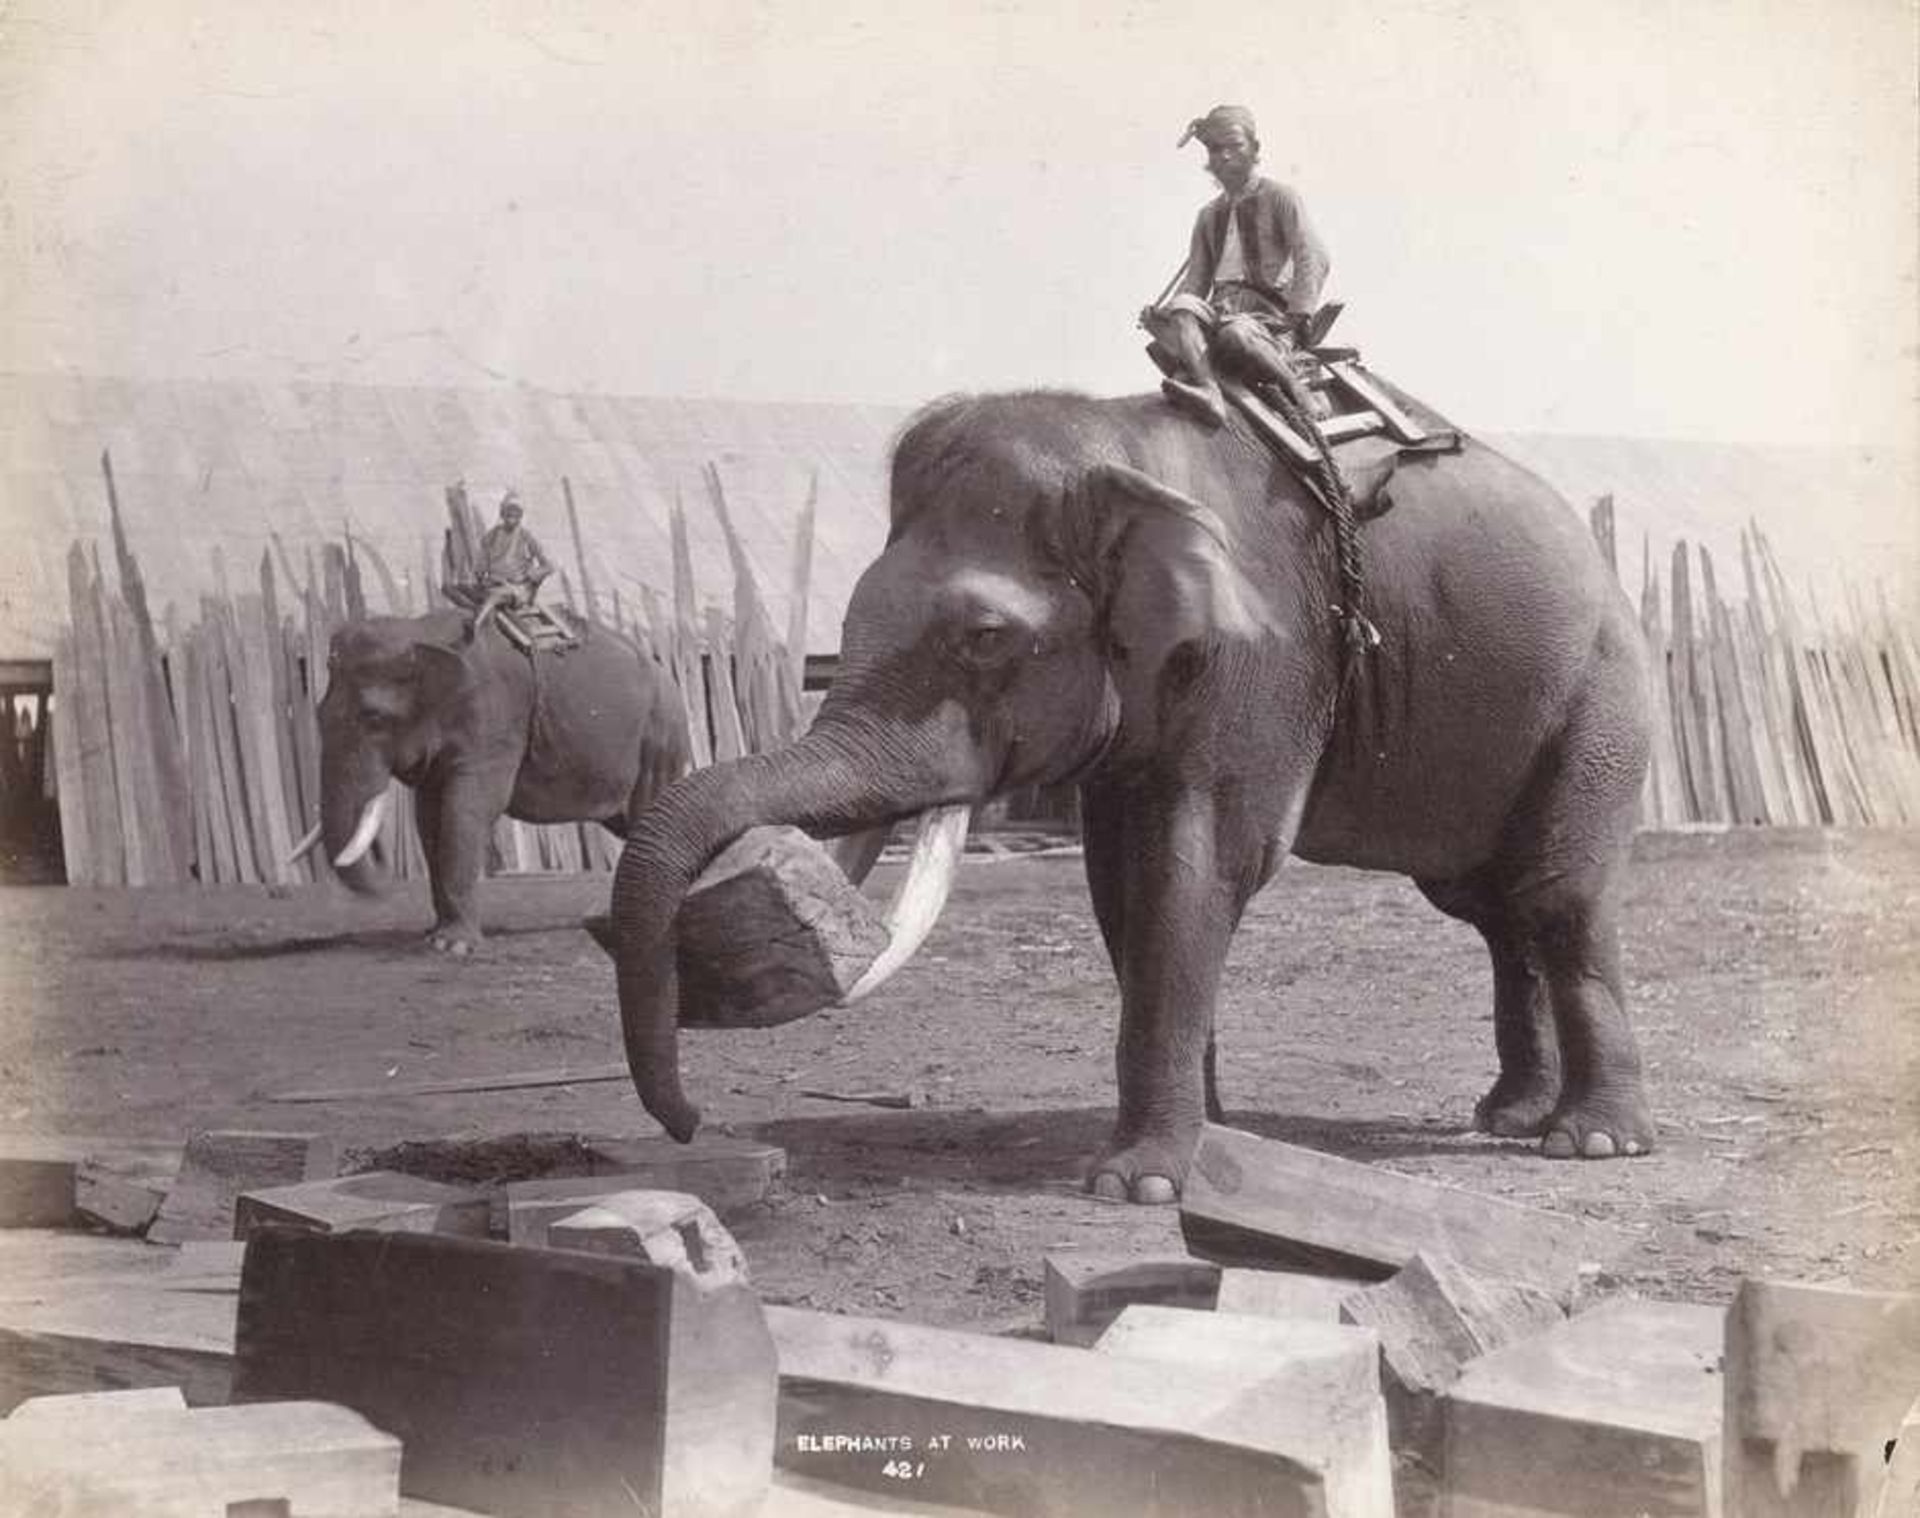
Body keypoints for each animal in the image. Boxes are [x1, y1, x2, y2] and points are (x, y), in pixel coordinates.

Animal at [314, 606, 698, 951]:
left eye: (374, 718)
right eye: (318, 713)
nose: (385, 884)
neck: (419, 630)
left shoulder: (493, 722)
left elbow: (467, 808)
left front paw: (453, 946)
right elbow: (428, 817)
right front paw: (434, 937)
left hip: (660, 740)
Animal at [606, 385, 1658, 1205]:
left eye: (984, 637)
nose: (690, 1124)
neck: (1127, 449)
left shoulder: (1269, 655)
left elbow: (1200, 865)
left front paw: (1137, 1185)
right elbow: (1122, 882)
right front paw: (1211, 1138)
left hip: (1601, 703)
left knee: (1557, 897)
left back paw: (1591, 1142)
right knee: (1495, 909)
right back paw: (1510, 1115)